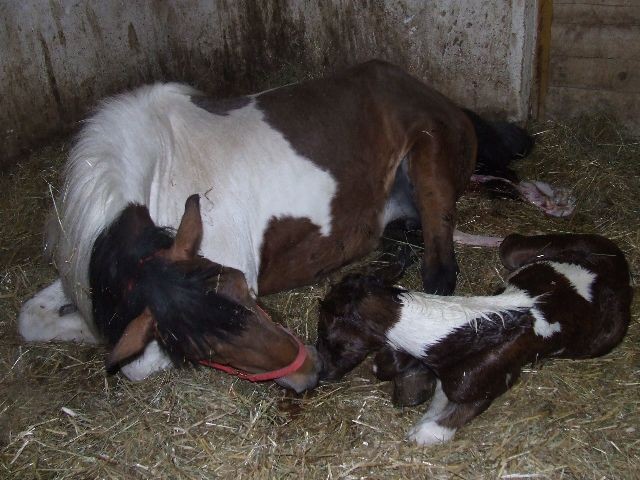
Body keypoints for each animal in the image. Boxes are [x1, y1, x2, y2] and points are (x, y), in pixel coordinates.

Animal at [316, 234, 632, 444]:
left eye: (326, 331)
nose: (323, 373)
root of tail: (620, 263)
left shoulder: (483, 384)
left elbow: (429, 429)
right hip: (517, 250)